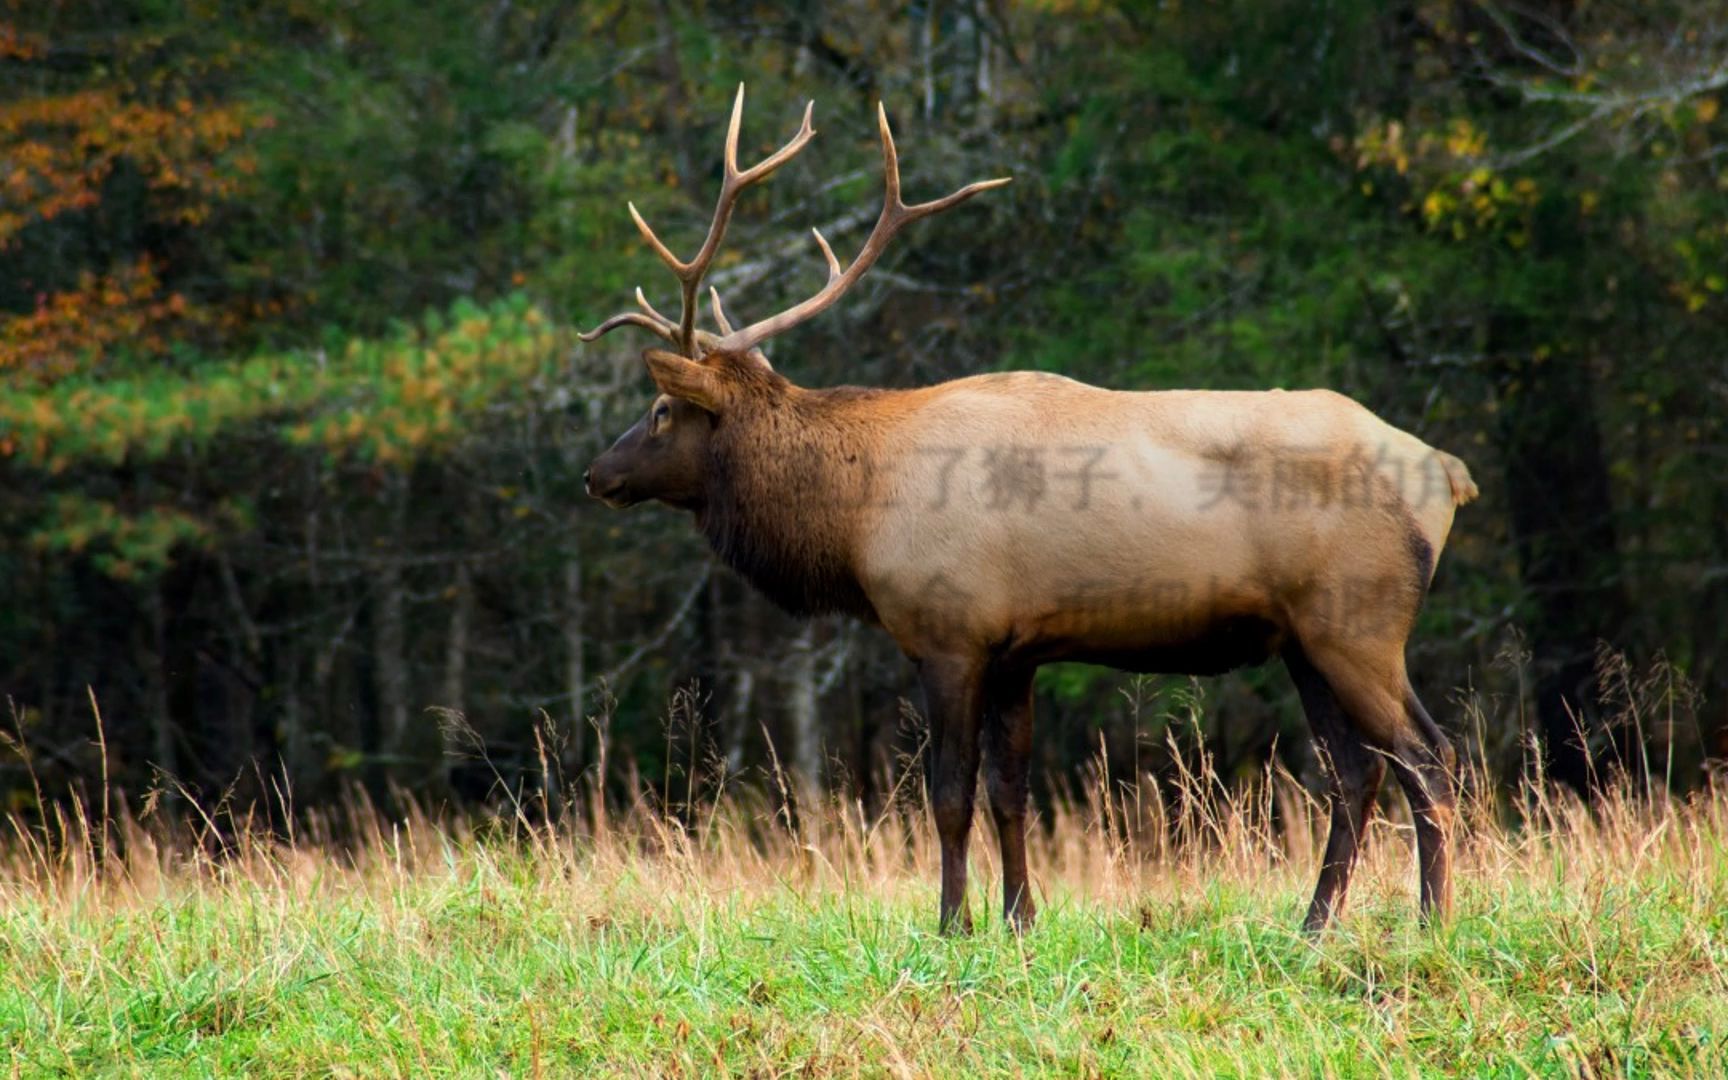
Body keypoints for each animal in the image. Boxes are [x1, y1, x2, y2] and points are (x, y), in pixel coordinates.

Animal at [577, 86, 1472, 933]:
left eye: (661, 411)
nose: (595, 474)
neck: (854, 515)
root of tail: (1447, 472)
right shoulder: (1017, 650)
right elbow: (1012, 792)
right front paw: (1020, 919)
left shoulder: (950, 634)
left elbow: (949, 795)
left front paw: (952, 924)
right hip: (1304, 639)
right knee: (1357, 771)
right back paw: (1314, 924)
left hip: (1358, 622)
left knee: (1429, 756)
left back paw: (1430, 920)